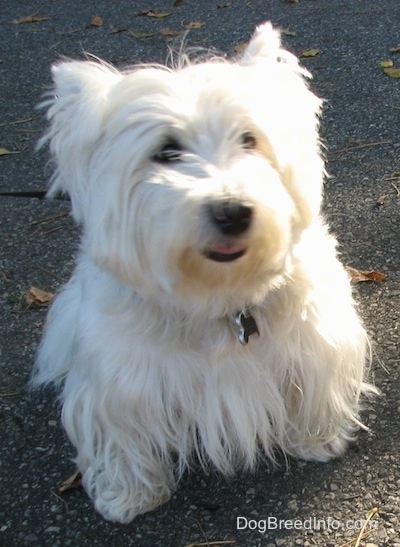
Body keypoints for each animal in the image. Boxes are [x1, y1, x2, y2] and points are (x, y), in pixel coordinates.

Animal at [32, 23, 376, 524]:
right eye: (166, 151)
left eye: (249, 139)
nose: (232, 211)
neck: (219, 296)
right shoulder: (120, 377)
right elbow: (120, 430)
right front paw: (128, 495)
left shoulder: (314, 340)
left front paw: (318, 438)